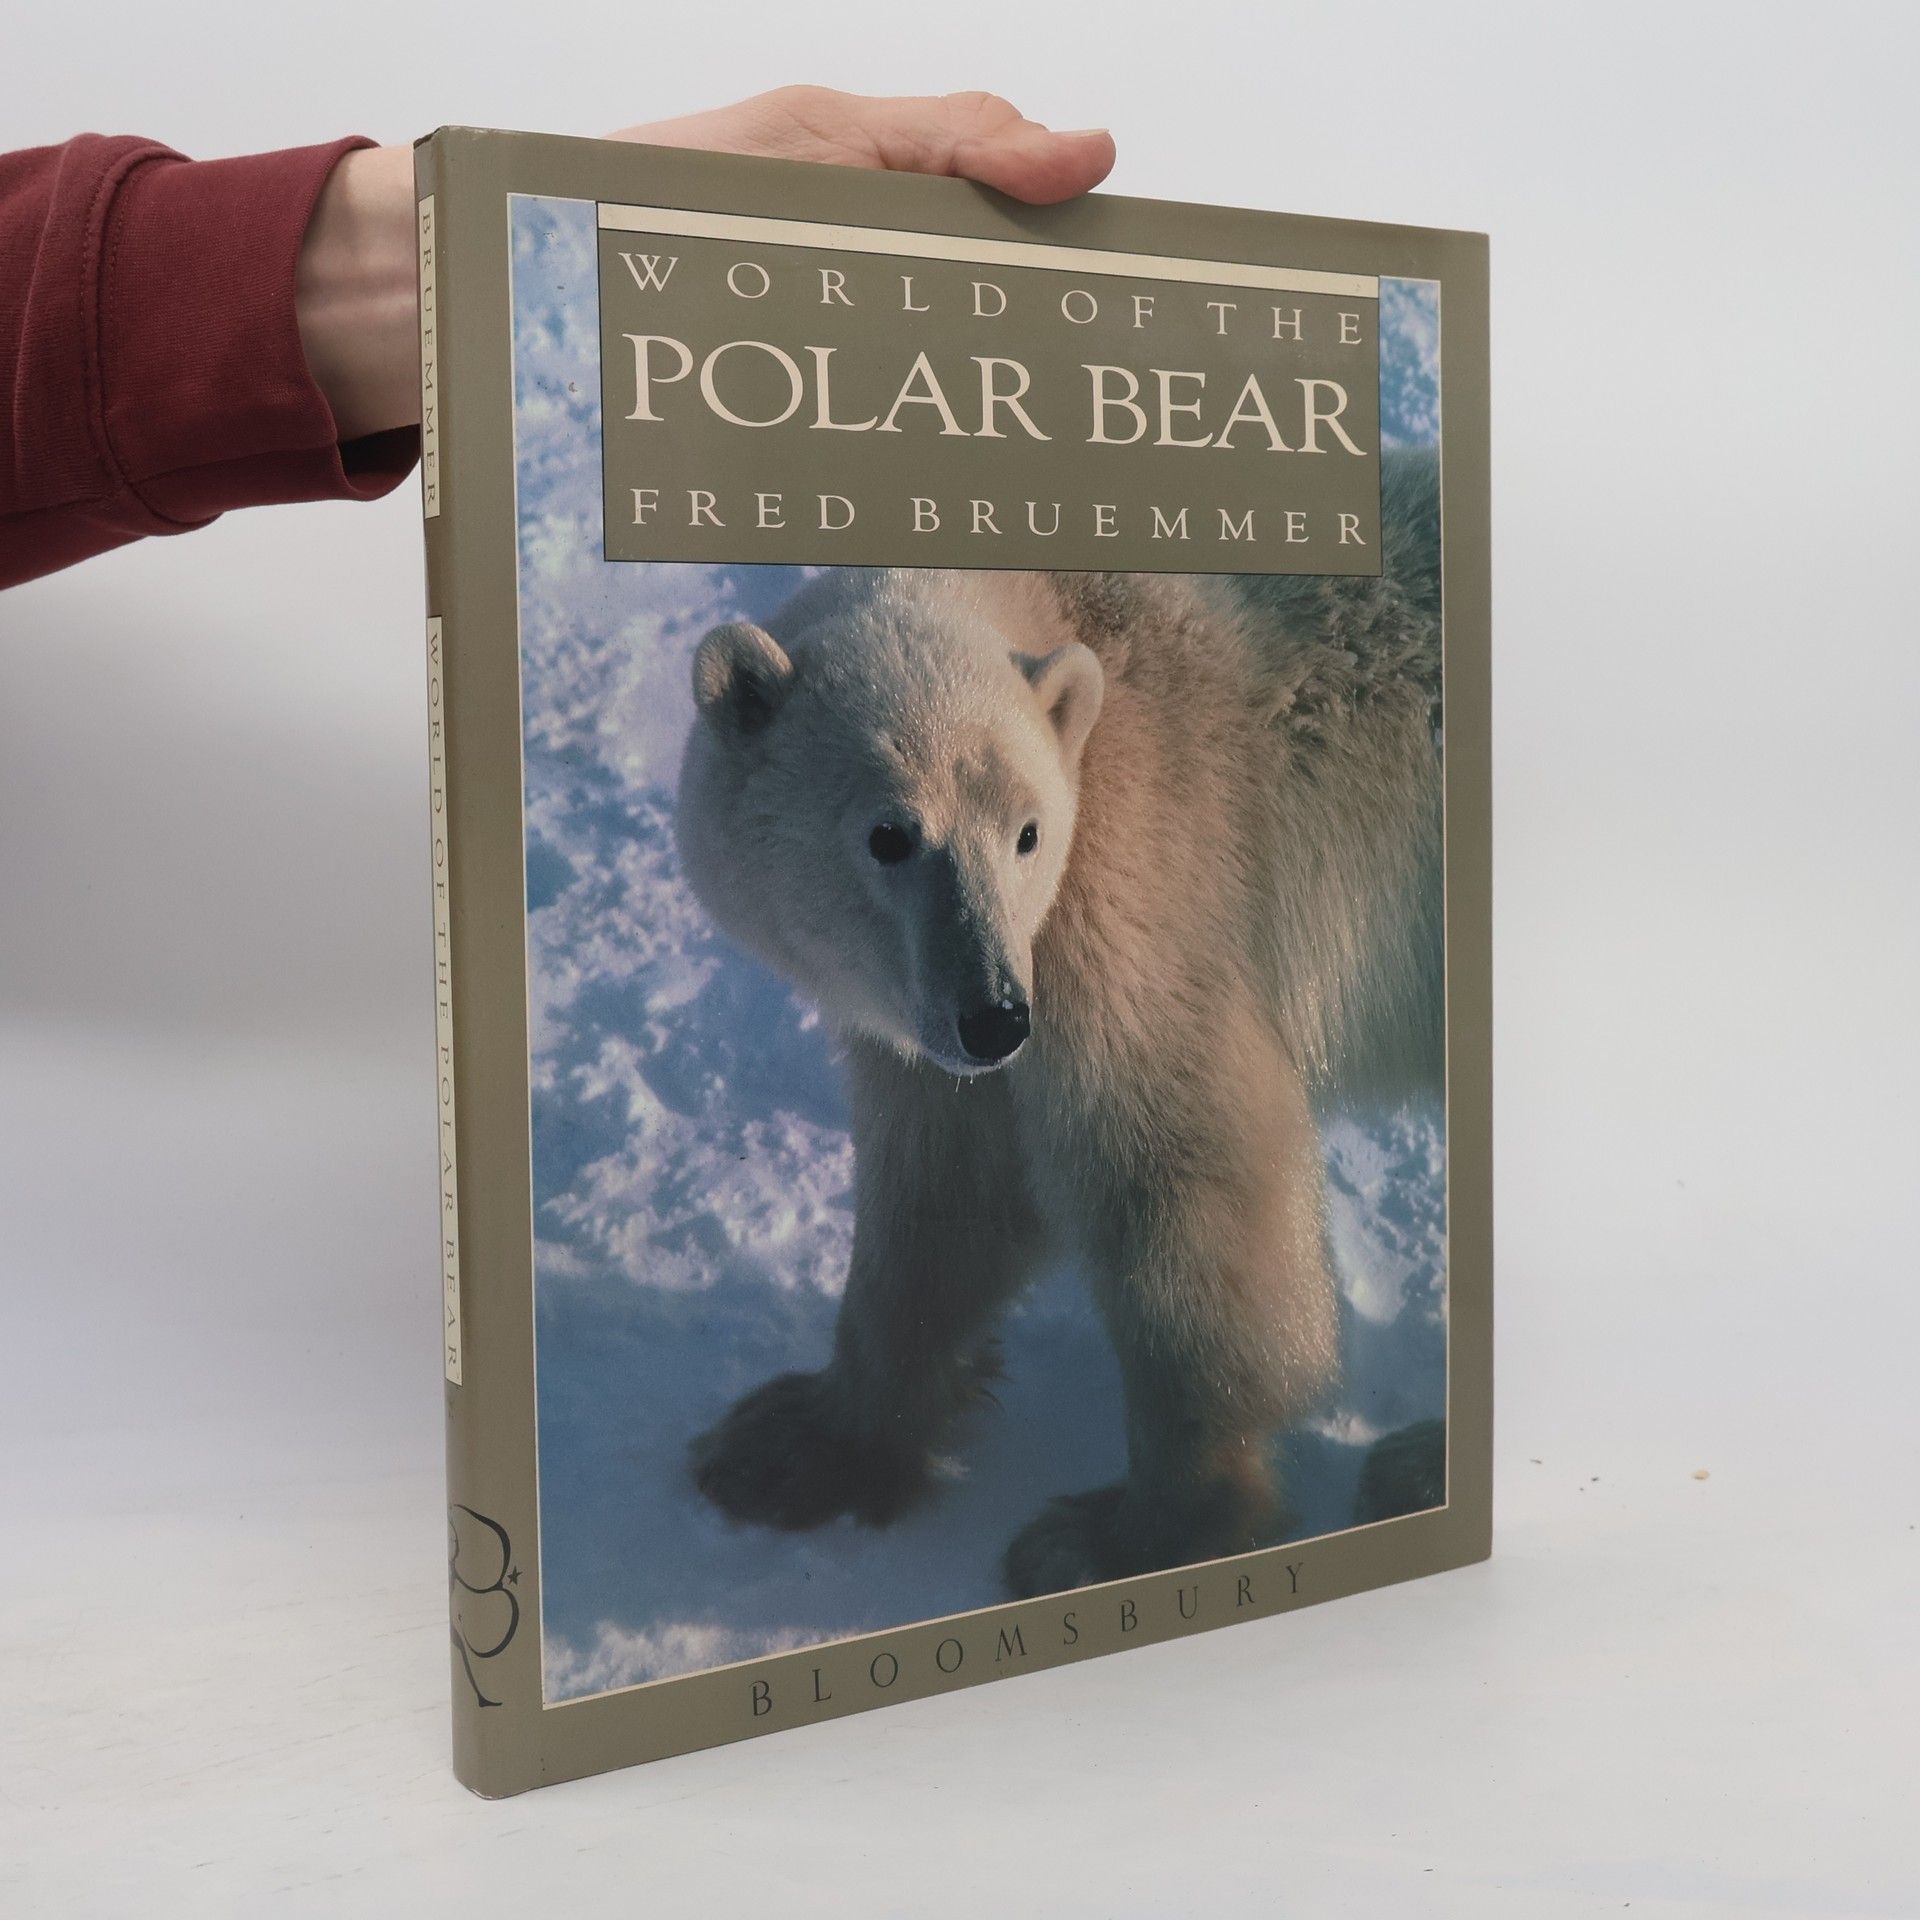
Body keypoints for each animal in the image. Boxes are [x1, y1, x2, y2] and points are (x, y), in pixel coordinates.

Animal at [676, 450, 1444, 1598]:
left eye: (1029, 832)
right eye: (890, 835)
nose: (995, 1017)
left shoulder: (1135, 877)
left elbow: (1182, 1160)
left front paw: (1128, 1534)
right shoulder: (941, 1018)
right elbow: (950, 1189)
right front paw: (793, 1445)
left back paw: (1409, 1462)